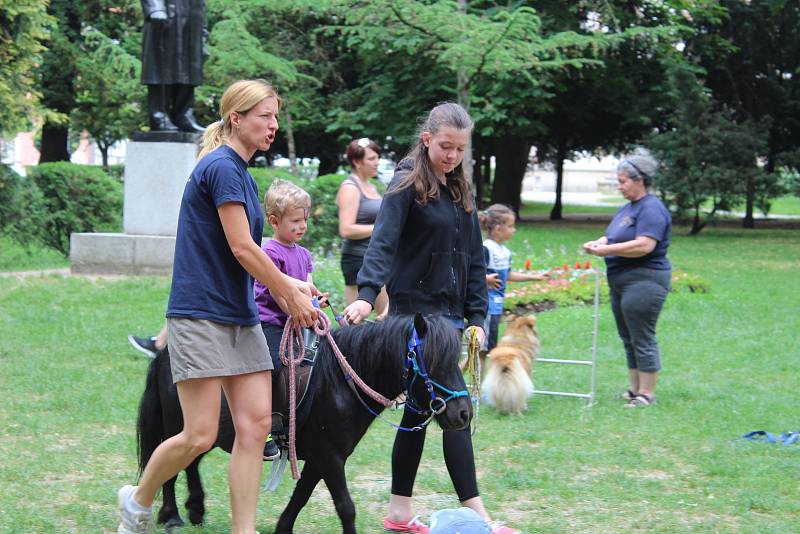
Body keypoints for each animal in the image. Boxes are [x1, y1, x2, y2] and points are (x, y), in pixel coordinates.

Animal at [136, 316, 476, 532]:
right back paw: (171, 516)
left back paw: (195, 508)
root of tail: (164, 354)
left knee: (189, 462)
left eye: (457, 360)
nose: (464, 414)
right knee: (168, 462)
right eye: (433, 363)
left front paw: (282, 528)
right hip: (182, 423)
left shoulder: (319, 458)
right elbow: (345, 506)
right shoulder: (329, 457)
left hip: (206, 428)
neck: (340, 380)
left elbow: (300, 498)